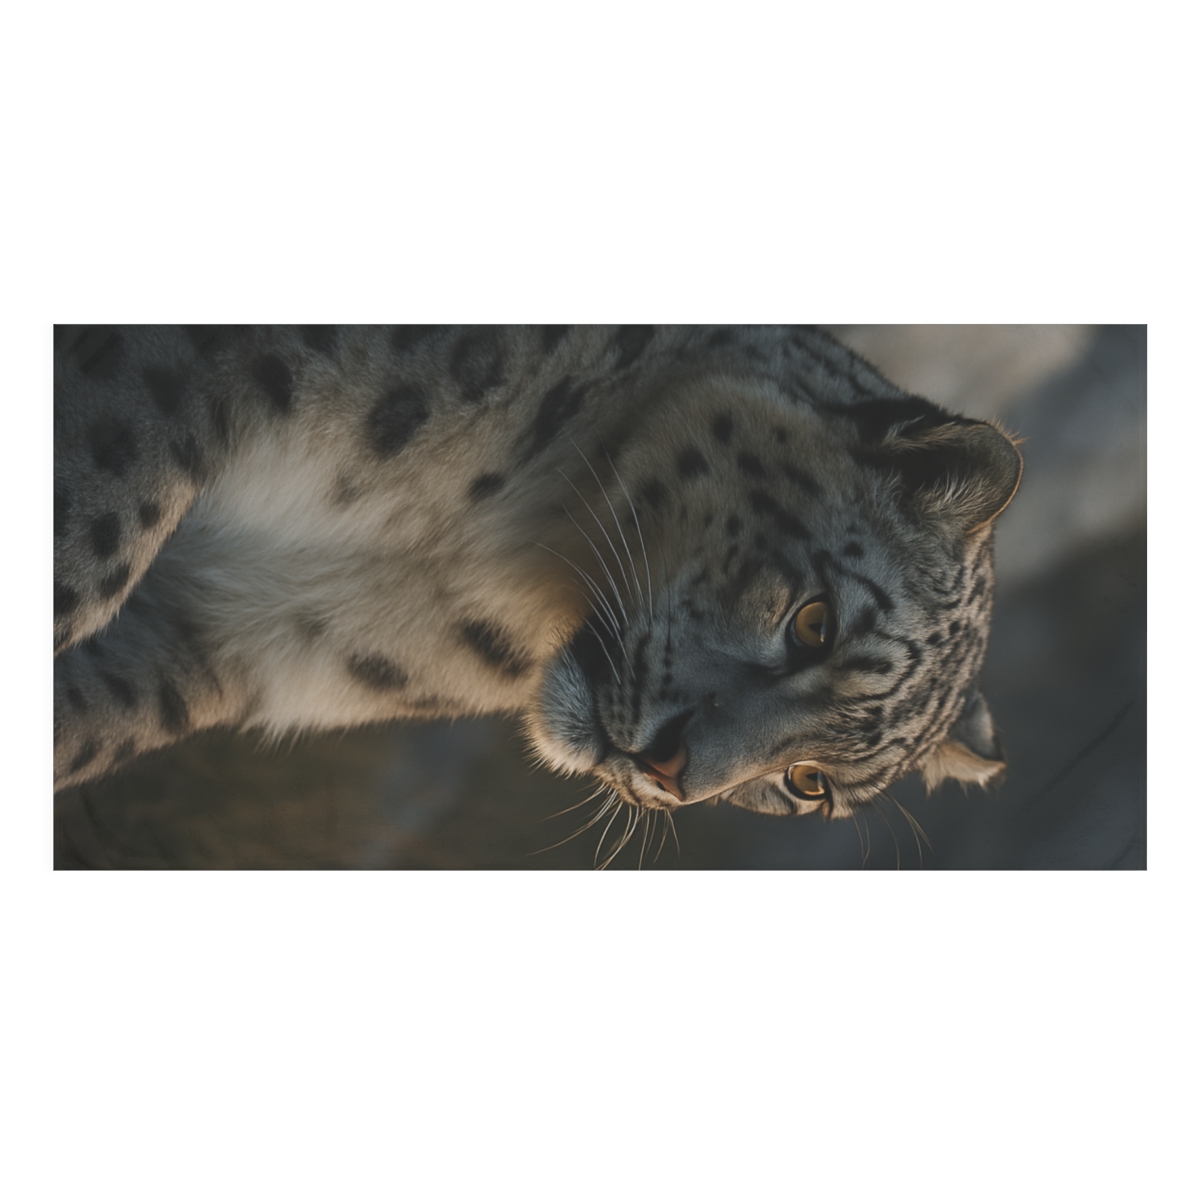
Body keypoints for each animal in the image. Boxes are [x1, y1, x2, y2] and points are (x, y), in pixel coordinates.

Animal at [53, 325, 1022, 837]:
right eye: (815, 623)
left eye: (810, 782)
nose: (668, 771)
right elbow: (87, 524)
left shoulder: (211, 639)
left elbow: (84, 714)